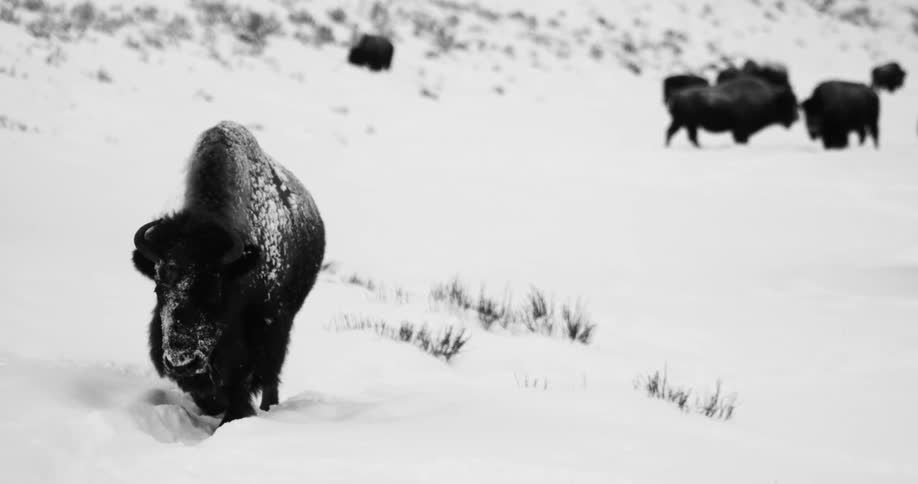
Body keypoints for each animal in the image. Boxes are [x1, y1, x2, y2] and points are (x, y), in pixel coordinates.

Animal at [132, 121, 325, 425]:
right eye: (157, 286)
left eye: (215, 288)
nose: (180, 361)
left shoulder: (264, 326)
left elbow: (243, 379)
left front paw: (234, 416)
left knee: (271, 375)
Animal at [665, 77, 799, 147]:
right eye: (788, 103)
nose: (797, 117)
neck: (769, 99)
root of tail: (676, 94)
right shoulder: (741, 130)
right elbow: (741, 139)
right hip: (684, 122)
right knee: (682, 135)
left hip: (684, 123)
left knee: (679, 134)